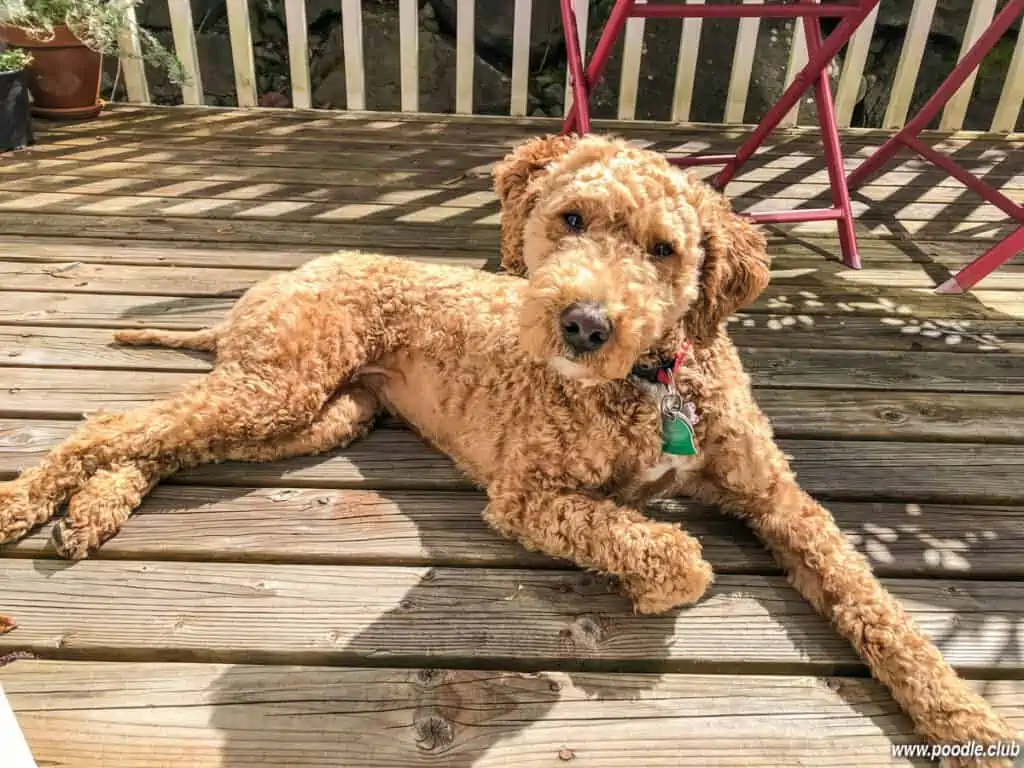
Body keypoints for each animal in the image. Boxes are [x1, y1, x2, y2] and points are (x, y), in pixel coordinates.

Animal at [0, 134, 1015, 765]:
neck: (654, 382)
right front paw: (658, 581)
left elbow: (876, 607)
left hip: (316, 415)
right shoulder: (529, 496)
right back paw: (29, 501)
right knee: (114, 423)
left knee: (161, 440)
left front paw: (963, 718)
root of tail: (284, 277)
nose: (583, 324)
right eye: (571, 219)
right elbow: (666, 551)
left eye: (663, 248)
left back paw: (93, 509)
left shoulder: (776, 497)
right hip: (278, 386)